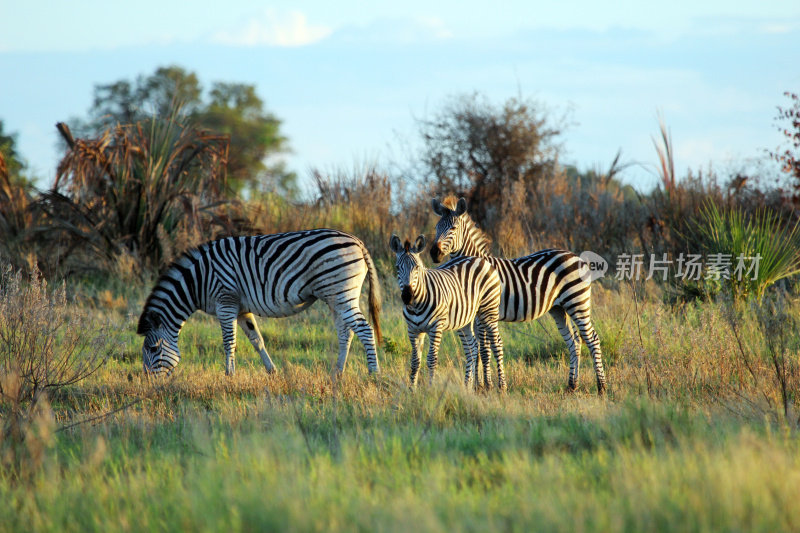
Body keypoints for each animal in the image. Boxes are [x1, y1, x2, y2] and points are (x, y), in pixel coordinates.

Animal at [137, 228, 382, 374]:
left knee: (364, 329)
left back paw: (373, 373)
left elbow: (229, 341)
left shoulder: (226, 301)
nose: (150, 384)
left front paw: (229, 376)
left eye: (152, 348)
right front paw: (272, 371)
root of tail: (357, 241)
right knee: (346, 332)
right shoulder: (241, 309)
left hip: (341, 292)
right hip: (335, 297)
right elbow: (257, 340)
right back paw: (338, 373)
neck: (198, 280)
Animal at [388, 235, 506, 388]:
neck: (416, 305)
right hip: (465, 320)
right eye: (397, 268)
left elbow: (431, 359)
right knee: (472, 348)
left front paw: (430, 388)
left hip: (488, 311)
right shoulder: (413, 330)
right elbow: (415, 361)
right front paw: (411, 389)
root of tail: (479, 259)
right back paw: (467, 386)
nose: (407, 296)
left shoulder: (435, 327)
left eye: (417, 267)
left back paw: (502, 386)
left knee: (497, 344)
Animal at [432, 196, 608, 394]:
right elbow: (477, 349)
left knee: (592, 339)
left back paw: (601, 387)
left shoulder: (482, 314)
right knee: (574, 342)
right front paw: (479, 386)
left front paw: (486, 386)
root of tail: (574, 256)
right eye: (436, 228)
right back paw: (572, 385)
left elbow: (484, 349)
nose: (434, 253)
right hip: (558, 308)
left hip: (577, 302)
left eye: (453, 228)